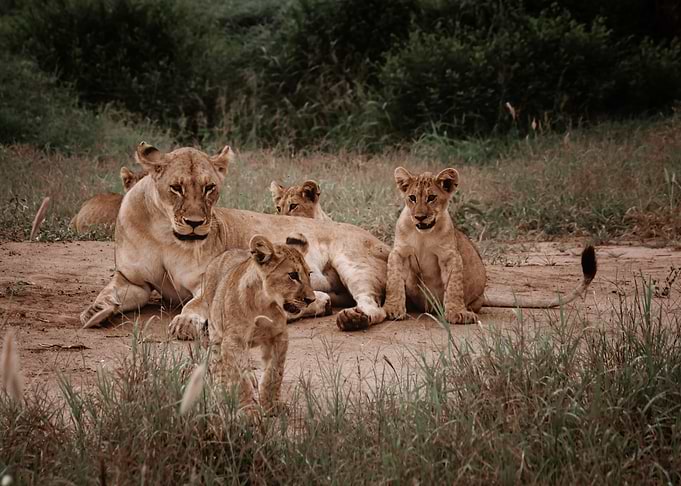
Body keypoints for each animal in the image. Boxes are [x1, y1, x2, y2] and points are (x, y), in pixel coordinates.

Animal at [81, 142, 388, 335]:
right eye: (176, 188)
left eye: (210, 188)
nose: (195, 224)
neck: (163, 232)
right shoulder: (132, 280)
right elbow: (109, 293)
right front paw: (94, 311)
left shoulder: (209, 278)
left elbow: (197, 302)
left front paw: (186, 322)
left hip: (354, 263)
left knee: (375, 308)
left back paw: (353, 318)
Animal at [187, 234, 314, 412]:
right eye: (293, 275)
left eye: (309, 274)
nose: (311, 300)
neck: (265, 303)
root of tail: (223, 254)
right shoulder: (234, 340)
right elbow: (239, 377)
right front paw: (247, 411)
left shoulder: (279, 336)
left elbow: (274, 372)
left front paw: (270, 405)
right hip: (216, 332)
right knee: (218, 362)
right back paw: (221, 389)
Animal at [383, 167, 597, 324]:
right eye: (412, 198)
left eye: (431, 197)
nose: (420, 217)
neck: (423, 235)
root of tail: (483, 296)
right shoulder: (398, 253)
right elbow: (394, 281)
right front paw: (393, 309)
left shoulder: (450, 256)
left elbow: (453, 286)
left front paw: (456, 313)